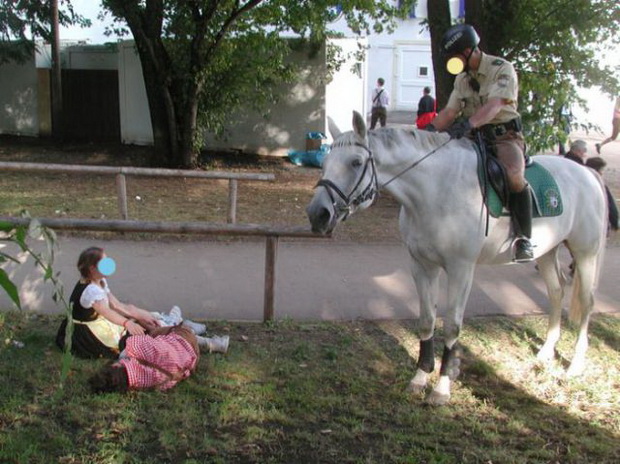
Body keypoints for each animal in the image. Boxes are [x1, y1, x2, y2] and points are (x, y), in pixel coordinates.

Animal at [308, 110, 608, 404]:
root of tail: (587, 173)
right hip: (547, 252)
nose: (318, 214)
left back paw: (575, 365)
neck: (435, 191)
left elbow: (452, 326)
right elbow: (427, 319)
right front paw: (420, 377)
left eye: (356, 162)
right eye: (325, 162)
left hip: (585, 253)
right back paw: (545, 352)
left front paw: (442, 387)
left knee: (586, 301)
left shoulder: (461, 270)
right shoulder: (422, 266)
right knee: (556, 292)